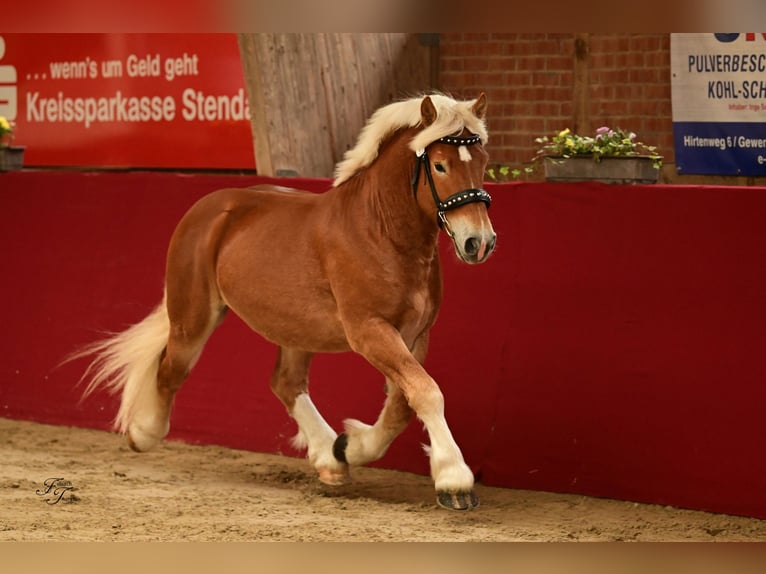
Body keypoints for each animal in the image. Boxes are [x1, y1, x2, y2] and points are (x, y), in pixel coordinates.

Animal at [79, 94, 498, 512]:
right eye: (440, 165)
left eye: (482, 162)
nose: (479, 242)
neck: (380, 231)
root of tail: (209, 208)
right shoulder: (369, 330)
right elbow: (426, 392)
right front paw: (454, 481)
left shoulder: (416, 334)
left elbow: (402, 405)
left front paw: (349, 445)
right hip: (193, 316)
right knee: (171, 369)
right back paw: (142, 432)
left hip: (296, 328)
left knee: (286, 383)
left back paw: (331, 458)